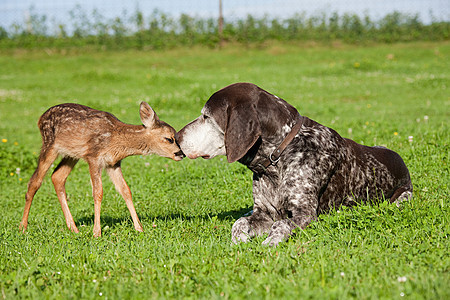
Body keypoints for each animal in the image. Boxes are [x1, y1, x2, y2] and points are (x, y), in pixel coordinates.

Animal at [175, 82, 412, 246]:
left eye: (206, 116)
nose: (176, 137)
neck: (279, 156)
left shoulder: (304, 214)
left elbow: (281, 224)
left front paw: (270, 242)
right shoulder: (263, 212)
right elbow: (239, 223)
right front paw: (237, 242)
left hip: (403, 198)